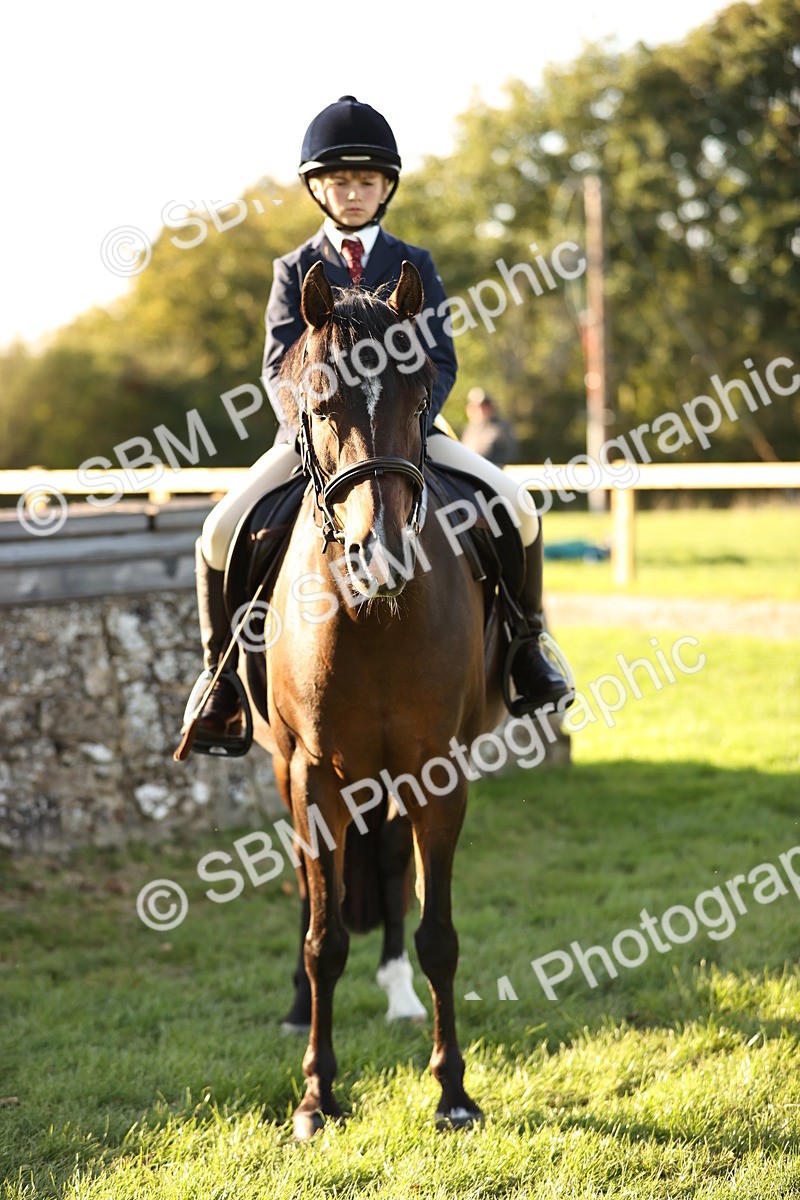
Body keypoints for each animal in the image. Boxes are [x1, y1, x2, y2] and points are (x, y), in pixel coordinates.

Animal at [239, 260, 505, 1138]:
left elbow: (439, 933)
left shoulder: (437, 771)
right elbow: (323, 938)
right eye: (318, 402)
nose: (378, 559)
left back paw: (395, 993)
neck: (373, 616)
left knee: (387, 860)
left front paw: (452, 1090)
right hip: (291, 770)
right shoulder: (310, 773)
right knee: (305, 883)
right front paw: (317, 1095)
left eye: (421, 397)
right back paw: (298, 1005)